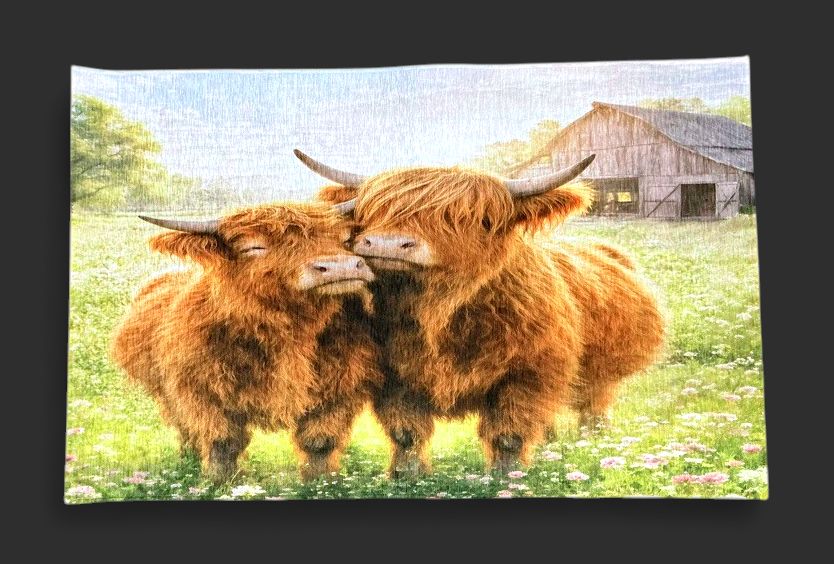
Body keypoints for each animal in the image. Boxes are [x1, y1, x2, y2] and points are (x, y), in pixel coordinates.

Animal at [110, 202, 383, 482]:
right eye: (253, 247)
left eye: (342, 239)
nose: (342, 266)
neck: (290, 334)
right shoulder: (201, 390)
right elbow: (223, 442)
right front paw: (219, 482)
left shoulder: (340, 387)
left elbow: (320, 441)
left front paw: (321, 483)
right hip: (166, 394)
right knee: (185, 428)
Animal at [296, 150, 665, 477]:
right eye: (372, 213)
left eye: (480, 220)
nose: (387, 244)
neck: (442, 315)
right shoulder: (395, 376)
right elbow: (407, 433)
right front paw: (406, 477)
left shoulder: (528, 374)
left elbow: (508, 435)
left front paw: (507, 478)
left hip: (600, 374)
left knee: (593, 410)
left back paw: (595, 445)